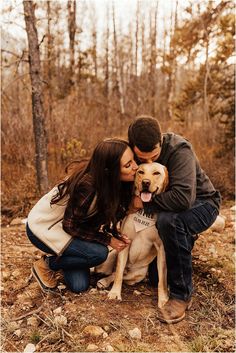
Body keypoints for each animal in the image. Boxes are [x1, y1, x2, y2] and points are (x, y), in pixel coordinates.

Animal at [96, 163, 170, 308]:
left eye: (156, 173)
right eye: (140, 172)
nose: (145, 182)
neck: (145, 210)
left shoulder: (162, 249)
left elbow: (162, 279)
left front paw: (163, 299)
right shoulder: (125, 242)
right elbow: (118, 273)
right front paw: (115, 293)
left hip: (138, 274)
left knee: (121, 275)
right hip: (110, 257)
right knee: (113, 271)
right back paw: (103, 280)